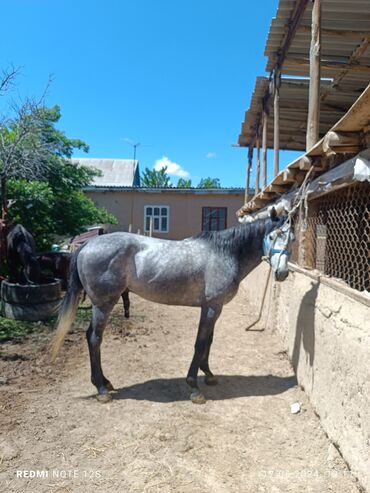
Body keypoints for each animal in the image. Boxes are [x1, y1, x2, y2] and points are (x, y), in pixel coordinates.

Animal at [52, 209, 294, 402]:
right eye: (271, 236)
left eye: (291, 238)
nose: (282, 273)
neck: (224, 253)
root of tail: (88, 245)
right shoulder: (211, 307)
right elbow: (200, 343)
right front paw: (194, 386)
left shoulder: (214, 306)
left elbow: (209, 341)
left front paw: (209, 375)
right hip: (104, 304)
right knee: (94, 339)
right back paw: (101, 389)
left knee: (91, 337)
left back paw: (105, 382)